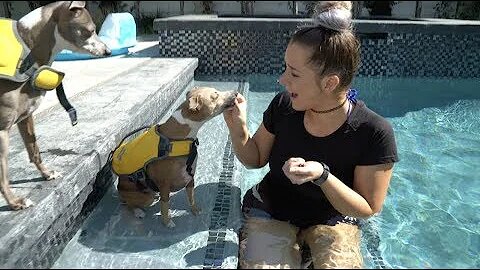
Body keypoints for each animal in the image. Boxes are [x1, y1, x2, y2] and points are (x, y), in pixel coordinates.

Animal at [0, 1, 110, 210]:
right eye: (90, 30)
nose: (108, 51)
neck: (28, 49)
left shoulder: (26, 117)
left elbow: (34, 151)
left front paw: (47, 173)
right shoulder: (1, 129)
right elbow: (3, 173)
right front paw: (14, 202)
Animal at [113, 87, 240, 228]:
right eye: (215, 96)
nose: (236, 93)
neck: (179, 137)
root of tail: (119, 188)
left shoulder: (190, 177)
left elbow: (191, 197)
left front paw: (195, 210)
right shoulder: (164, 185)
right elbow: (164, 205)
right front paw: (167, 221)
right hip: (144, 196)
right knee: (128, 204)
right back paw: (138, 212)